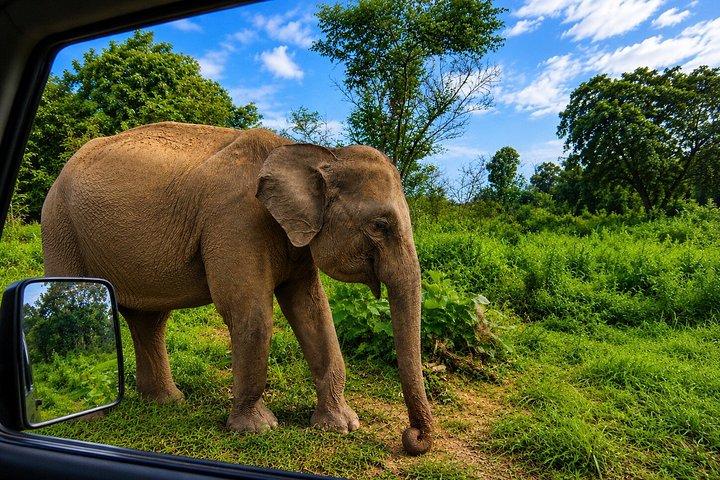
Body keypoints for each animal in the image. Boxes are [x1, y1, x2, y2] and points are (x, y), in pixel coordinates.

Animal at [40, 122, 433, 455]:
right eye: (380, 225)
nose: (413, 438)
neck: (312, 153)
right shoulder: (235, 220)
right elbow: (249, 311)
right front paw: (258, 429)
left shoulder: (295, 239)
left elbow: (312, 311)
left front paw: (341, 426)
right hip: (59, 225)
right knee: (71, 294)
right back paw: (95, 414)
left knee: (149, 320)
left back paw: (167, 402)